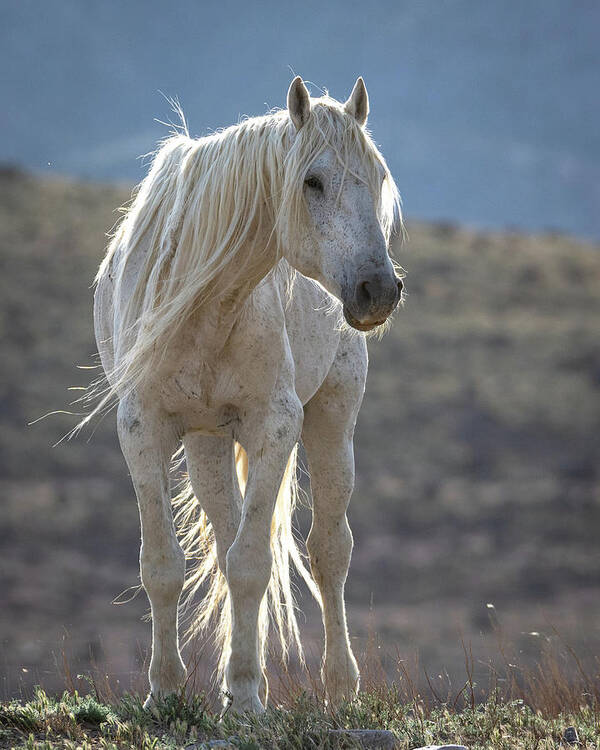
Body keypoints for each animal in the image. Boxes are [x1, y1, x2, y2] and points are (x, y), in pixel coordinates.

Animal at [90, 78, 404, 716]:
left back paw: (338, 686)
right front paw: (166, 691)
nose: (378, 290)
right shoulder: (143, 429)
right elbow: (164, 566)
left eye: (379, 177)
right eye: (313, 181)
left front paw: (243, 695)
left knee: (329, 551)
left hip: (332, 419)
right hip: (206, 443)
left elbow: (253, 563)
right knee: (227, 532)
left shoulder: (274, 426)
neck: (204, 303)